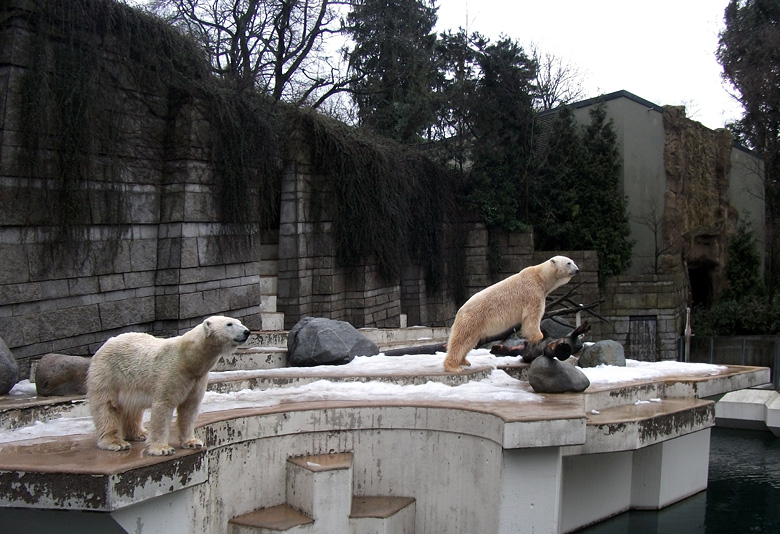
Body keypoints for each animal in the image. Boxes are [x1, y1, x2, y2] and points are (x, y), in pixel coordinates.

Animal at [90, 316, 251, 458]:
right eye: (229, 324)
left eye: (239, 322)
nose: (247, 332)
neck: (189, 360)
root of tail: (106, 343)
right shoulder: (170, 373)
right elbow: (163, 407)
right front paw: (162, 449)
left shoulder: (197, 379)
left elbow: (190, 408)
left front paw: (193, 442)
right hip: (109, 374)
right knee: (107, 407)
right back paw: (116, 443)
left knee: (132, 408)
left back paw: (140, 434)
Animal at [442, 258, 576, 374]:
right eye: (569, 263)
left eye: (573, 262)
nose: (577, 270)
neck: (540, 277)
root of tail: (460, 311)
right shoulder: (532, 292)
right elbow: (532, 315)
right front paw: (539, 337)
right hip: (472, 318)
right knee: (461, 341)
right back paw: (453, 367)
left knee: (469, 341)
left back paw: (464, 361)